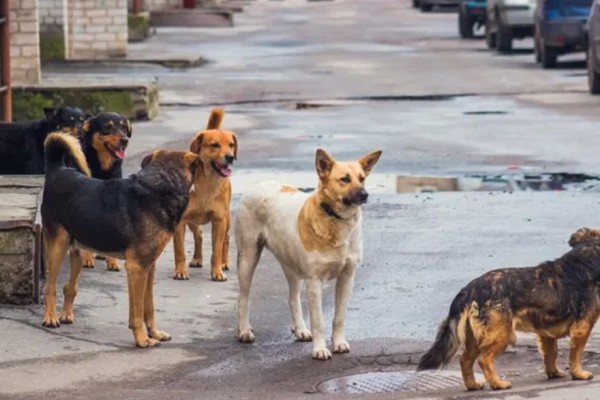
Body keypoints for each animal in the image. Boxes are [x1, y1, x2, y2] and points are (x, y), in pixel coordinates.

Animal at [78, 111, 133, 272]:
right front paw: (87, 258)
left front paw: (112, 261)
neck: (103, 167)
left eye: (124, 128)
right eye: (108, 127)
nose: (125, 140)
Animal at [171, 108, 237, 280]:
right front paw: (180, 271)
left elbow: (216, 250)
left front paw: (217, 271)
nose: (230, 157)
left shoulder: (219, 220)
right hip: (192, 221)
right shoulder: (181, 221)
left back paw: (224, 262)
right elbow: (180, 251)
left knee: (226, 239)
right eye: (215, 145)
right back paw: (197, 258)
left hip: (226, 219)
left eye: (231, 145)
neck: (208, 184)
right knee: (199, 235)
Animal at [234, 148, 380, 360]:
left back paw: (300, 329)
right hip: (248, 258)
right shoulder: (314, 282)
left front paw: (339, 342)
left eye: (362, 178)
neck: (335, 220)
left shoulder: (347, 278)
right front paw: (320, 349)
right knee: (243, 298)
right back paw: (244, 330)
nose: (364, 194)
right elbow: (318, 321)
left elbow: (339, 317)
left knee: (293, 299)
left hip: (291, 267)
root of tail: (258, 184)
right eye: (344, 179)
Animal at [420, 228, 600, 390]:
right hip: (502, 334)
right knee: (484, 359)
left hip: (475, 338)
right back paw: (497, 384)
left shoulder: (546, 333)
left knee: (465, 360)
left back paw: (472, 385)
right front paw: (578, 374)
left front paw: (553, 373)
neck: (587, 256)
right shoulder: (581, 328)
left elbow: (551, 355)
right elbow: (575, 354)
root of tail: (470, 289)